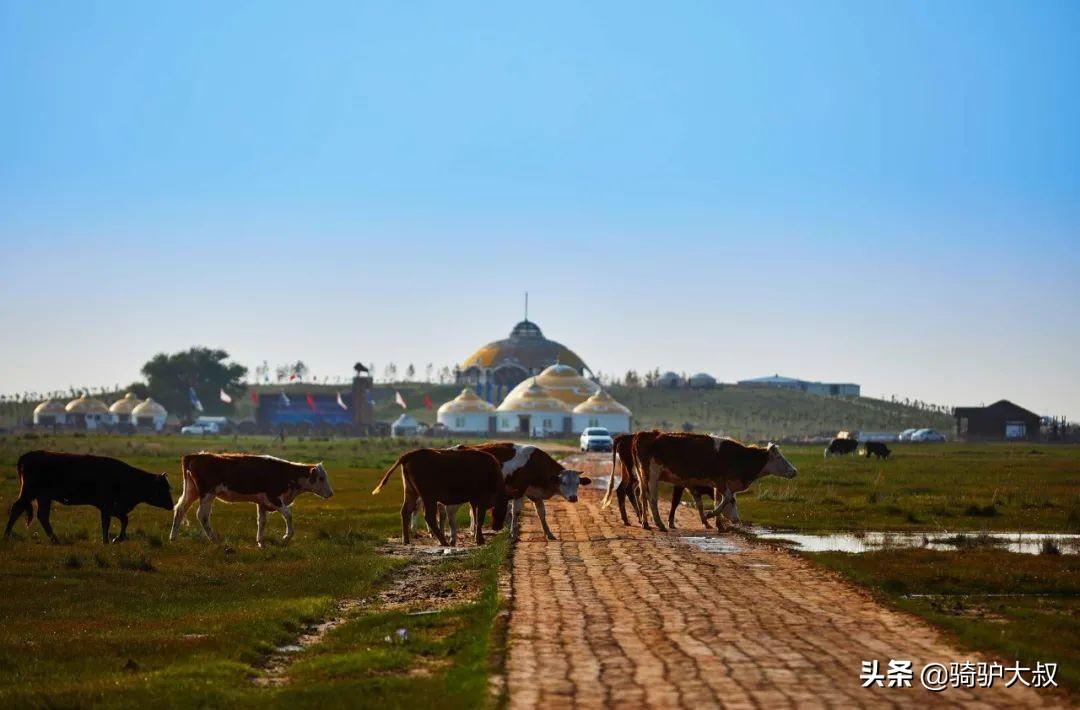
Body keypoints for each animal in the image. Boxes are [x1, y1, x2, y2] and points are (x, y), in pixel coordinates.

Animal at [4, 451, 172, 544]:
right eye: (163, 488)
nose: (171, 505)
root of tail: (28, 455)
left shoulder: (111, 508)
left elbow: (122, 520)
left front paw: (115, 539)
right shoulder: (108, 506)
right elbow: (110, 522)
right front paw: (109, 540)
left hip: (43, 497)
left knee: (42, 516)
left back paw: (55, 540)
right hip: (29, 492)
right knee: (17, 508)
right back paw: (6, 535)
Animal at [169, 453, 332, 548]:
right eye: (321, 478)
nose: (330, 493)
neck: (284, 473)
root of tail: (196, 455)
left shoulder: (262, 502)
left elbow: (262, 521)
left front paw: (261, 542)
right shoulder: (274, 498)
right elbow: (288, 514)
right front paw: (286, 537)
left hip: (191, 491)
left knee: (180, 508)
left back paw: (173, 537)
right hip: (207, 493)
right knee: (202, 515)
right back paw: (215, 540)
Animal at [371, 445, 505, 544]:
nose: (497, 527)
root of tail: (409, 455)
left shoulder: (474, 500)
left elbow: (476, 517)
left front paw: (478, 538)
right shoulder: (481, 498)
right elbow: (479, 518)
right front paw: (480, 540)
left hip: (411, 492)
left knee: (405, 511)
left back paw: (406, 541)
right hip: (428, 497)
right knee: (428, 516)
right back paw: (443, 541)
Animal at [630, 432, 799, 531]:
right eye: (778, 457)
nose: (794, 471)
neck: (739, 458)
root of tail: (643, 434)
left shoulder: (719, 483)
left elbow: (719, 500)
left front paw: (718, 524)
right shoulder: (721, 481)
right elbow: (728, 498)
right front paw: (710, 515)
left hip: (643, 475)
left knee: (642, 496)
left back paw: (645, 523)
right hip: (653, 473)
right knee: (651, 498)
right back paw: (659, 524)